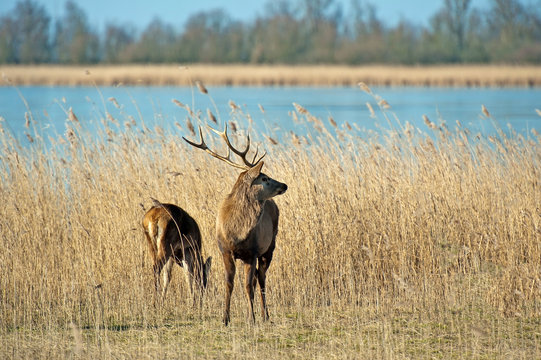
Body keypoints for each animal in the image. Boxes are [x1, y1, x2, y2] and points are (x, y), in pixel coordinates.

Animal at [184, 125, 286, 324]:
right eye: (264, 178)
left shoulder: (252, 252)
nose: (284, 185)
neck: (237, 232)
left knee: (261, 278)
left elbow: (247, 285)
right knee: (257, 278)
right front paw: (225, 318)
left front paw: (252, 318)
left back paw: (265, 315)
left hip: (270, 245)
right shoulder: (225, 250)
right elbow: (229, 283)